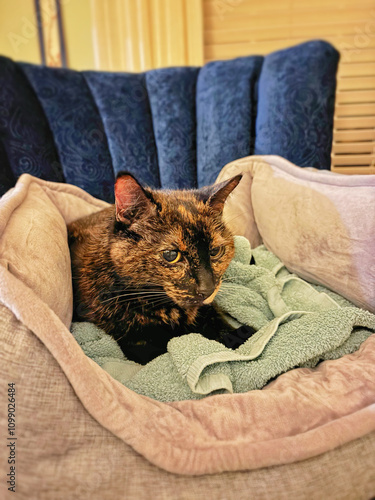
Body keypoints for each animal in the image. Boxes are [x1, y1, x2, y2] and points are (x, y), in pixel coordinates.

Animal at [69, 172, 248, 364]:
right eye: (171, 255)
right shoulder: (138, 343)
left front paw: (240, 335)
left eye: (215, 251)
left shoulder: (207, 308)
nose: (208, 289)